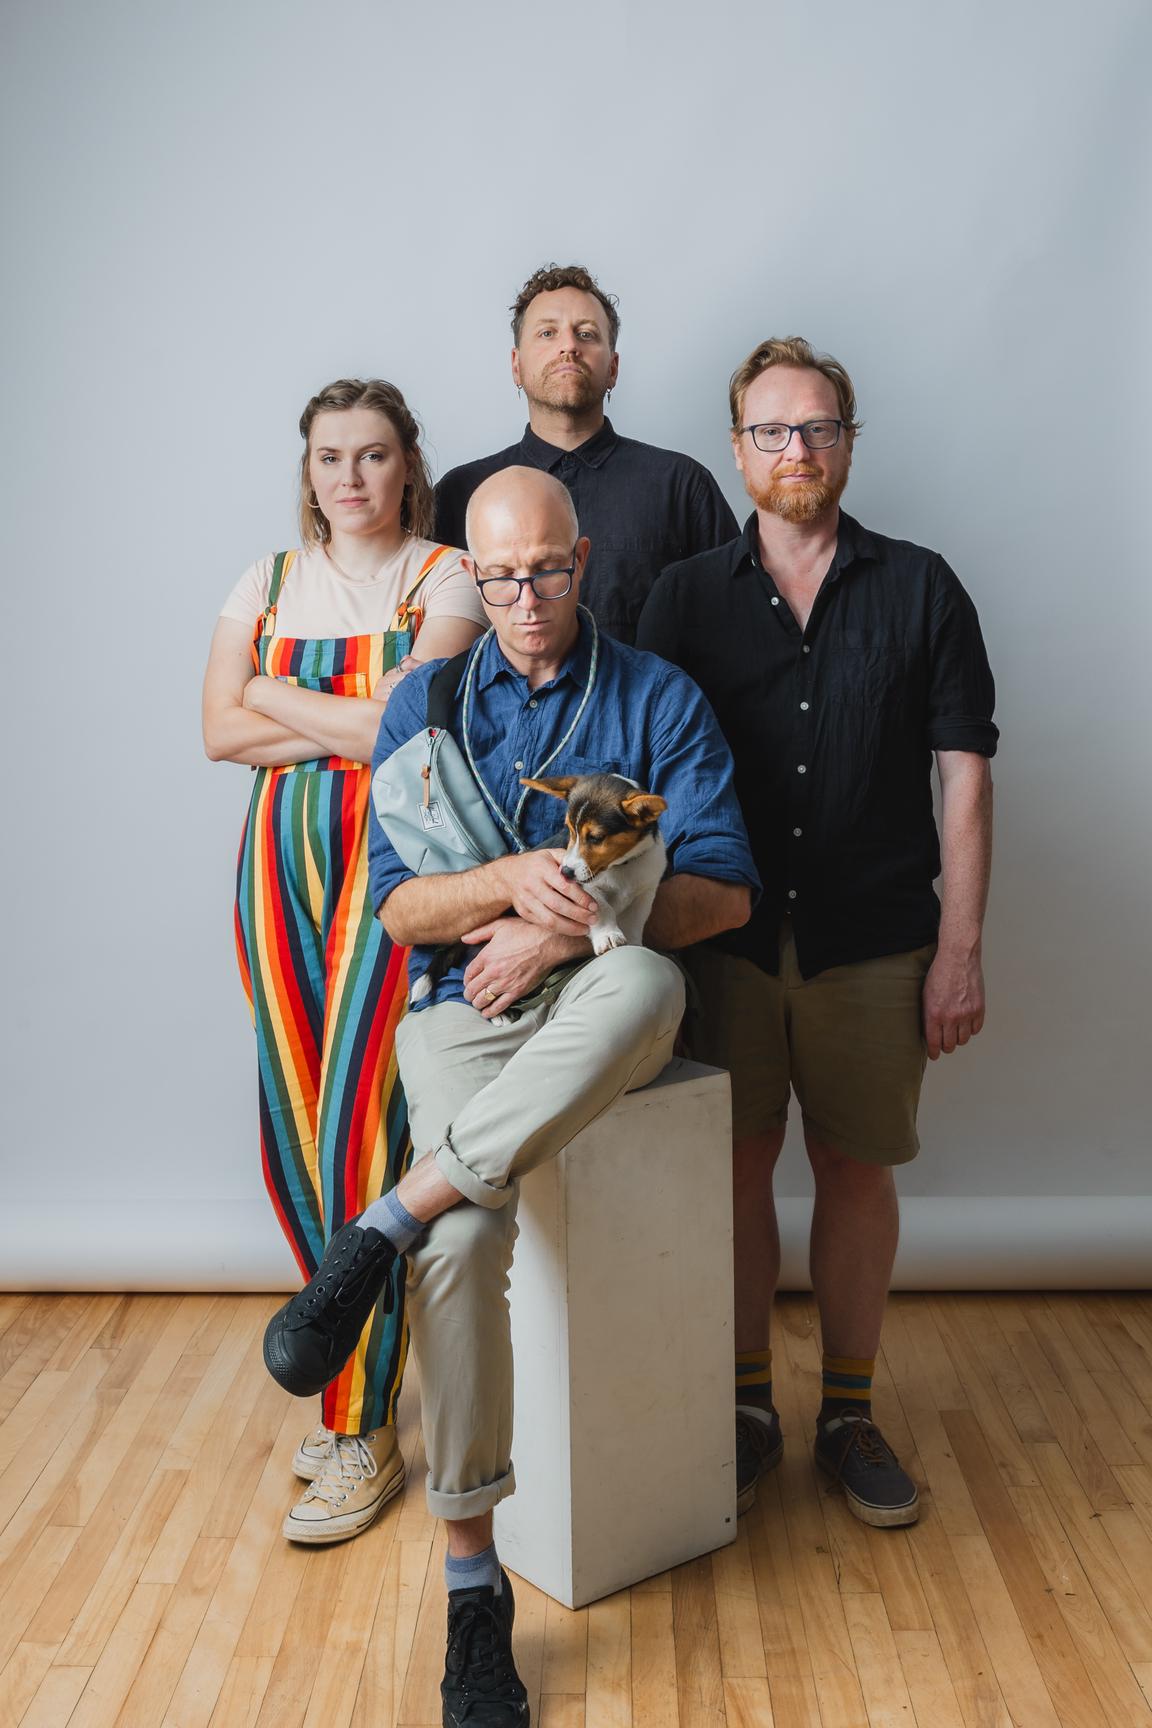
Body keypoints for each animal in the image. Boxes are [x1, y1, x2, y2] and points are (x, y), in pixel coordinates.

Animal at [521, 774, 666, 953]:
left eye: (596, 838)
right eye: (570, 830)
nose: (565, 872)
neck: (622, 865)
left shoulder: (645, 893)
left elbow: (635, 921)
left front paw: (634, 943)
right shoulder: (587, 888)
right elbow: (602, 908)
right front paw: (607, 934)